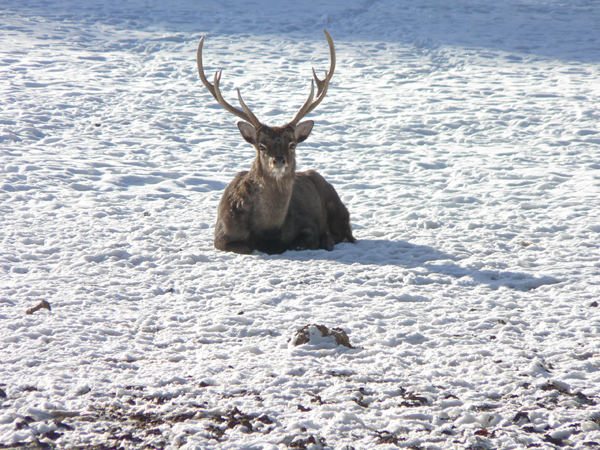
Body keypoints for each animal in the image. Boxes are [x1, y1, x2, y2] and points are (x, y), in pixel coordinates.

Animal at [197, 31, 356, 255]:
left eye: (292, 144)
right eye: (261, 145)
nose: (279, 160)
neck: (267, 228)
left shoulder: (307, 226)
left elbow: (301, 242)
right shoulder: (221, 235)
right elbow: (246, 247)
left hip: (339, 209)